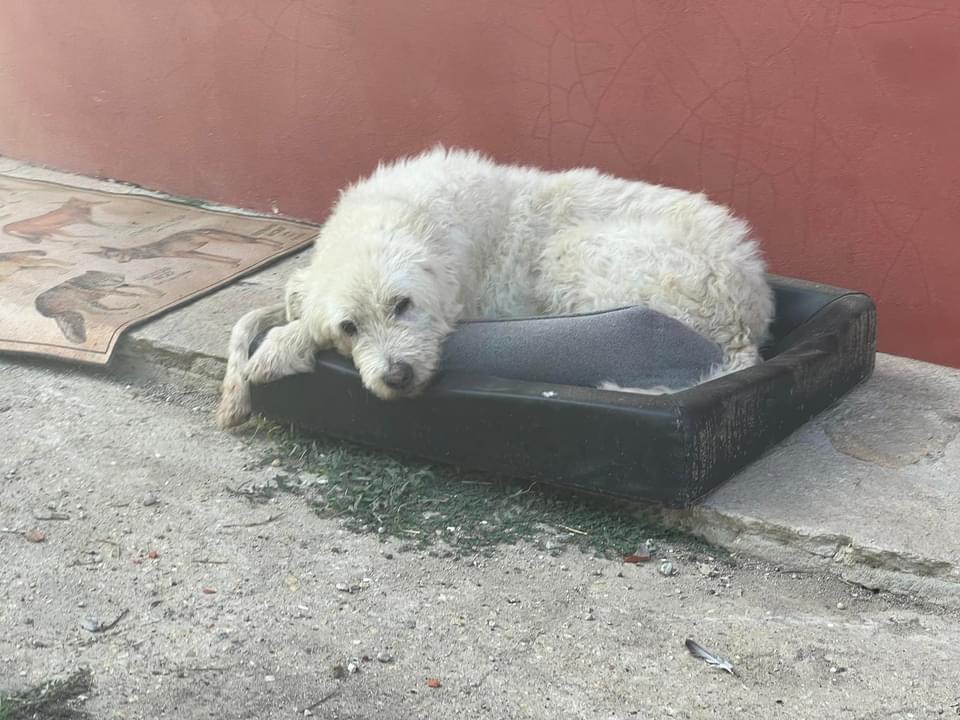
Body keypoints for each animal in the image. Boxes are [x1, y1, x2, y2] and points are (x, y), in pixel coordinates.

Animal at [218, 146, 772, 428]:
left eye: (403, 305)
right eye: (350, 327)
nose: (397, 376)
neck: (405, 214)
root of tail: (748, 318)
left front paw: (277, 350)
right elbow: (252, 317)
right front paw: (234, 393)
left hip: (572, 254)